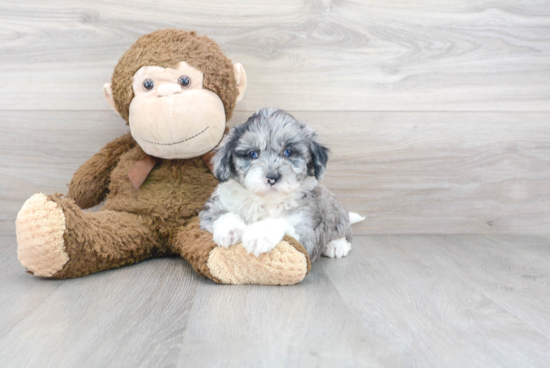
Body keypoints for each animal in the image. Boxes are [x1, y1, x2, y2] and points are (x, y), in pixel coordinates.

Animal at [199, 106, 366, 262]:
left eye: (288, 152)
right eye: (253, 154)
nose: (272, 177)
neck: (266, 200)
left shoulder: (306, 233)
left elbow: (278, 221)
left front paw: (258, 234)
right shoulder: (212, 209)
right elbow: (223, 213)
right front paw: (229, 229)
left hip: (334, 209)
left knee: (343, 230)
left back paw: (337, 245)